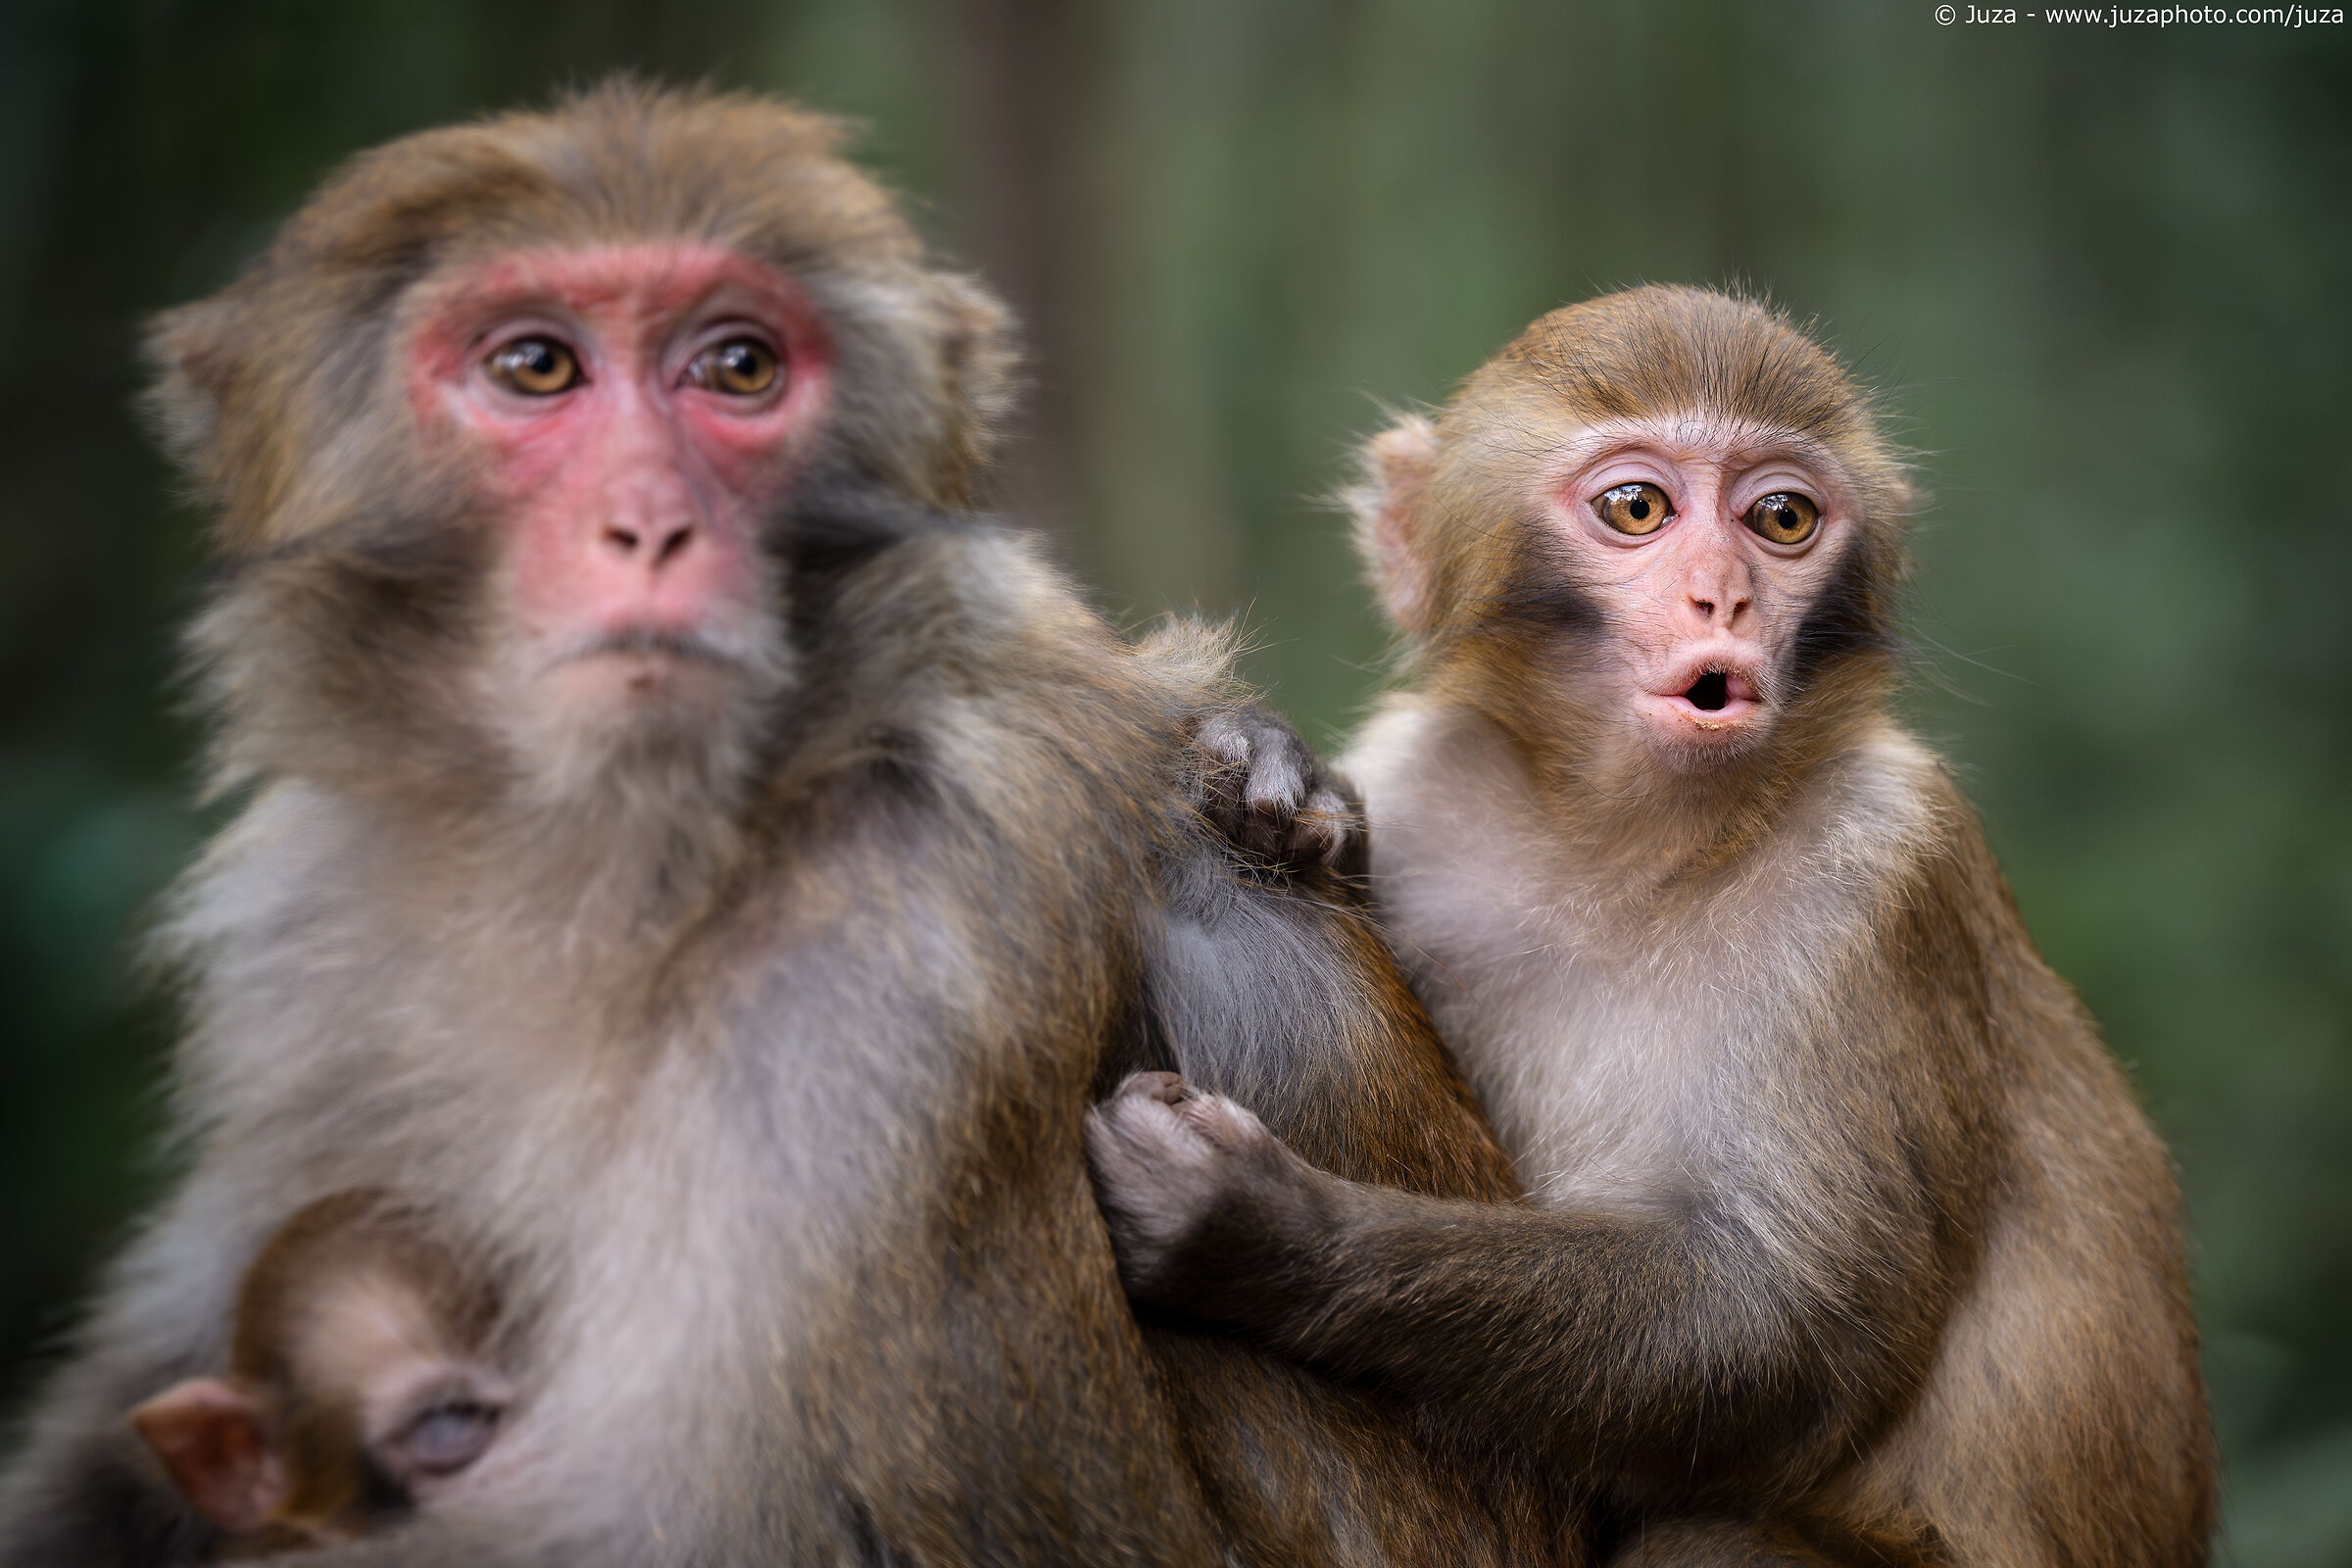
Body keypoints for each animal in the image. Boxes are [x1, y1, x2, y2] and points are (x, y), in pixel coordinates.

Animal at [1087, 285, 2218, 1567]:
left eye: (1782, 518)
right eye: (1637, 507)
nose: (1724, 594)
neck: (1625, 848)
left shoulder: (1885, 862)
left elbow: (1782, 1334)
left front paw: (1258, 1230)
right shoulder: (1428, 778)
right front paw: (1265, 762)